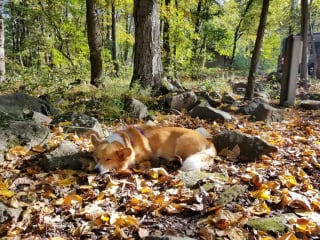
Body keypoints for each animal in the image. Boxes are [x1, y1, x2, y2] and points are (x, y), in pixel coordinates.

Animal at [90, 124, 218, 173]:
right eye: (97, 158)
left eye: (108, 159)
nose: (95, 170)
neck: (127, 141)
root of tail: (208, 142)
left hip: (181, 143)